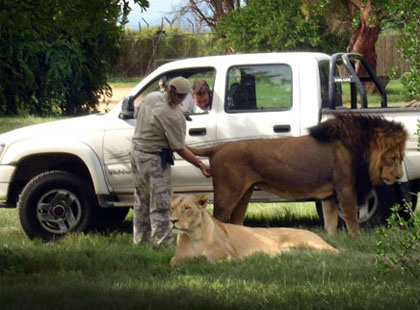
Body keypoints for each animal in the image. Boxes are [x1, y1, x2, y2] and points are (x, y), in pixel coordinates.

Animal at [169, 195, 336, 266]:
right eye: (172, 208)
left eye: (187, 208)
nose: (172, 221)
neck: (194, 235)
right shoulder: (177, 258)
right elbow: (174, 262)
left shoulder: (231, 257)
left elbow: (212, 261)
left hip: (304, 242)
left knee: (336, 251)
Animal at [189, 115, 406, 236]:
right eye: (393, 158)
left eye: (402, 157)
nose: (399, 176)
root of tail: (218, 148)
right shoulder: (345, 190)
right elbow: (352, 221)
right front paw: (356, 240)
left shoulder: (330, 197)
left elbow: (331, 225)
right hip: (228, 193)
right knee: (217, 220)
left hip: (244, 193)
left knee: (235, 222)